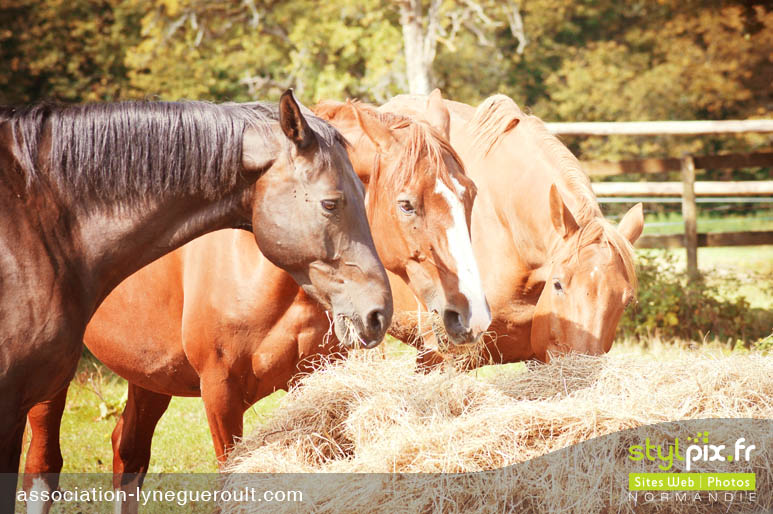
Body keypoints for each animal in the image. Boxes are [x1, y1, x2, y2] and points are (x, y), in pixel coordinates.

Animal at [25, 94, 488, 510]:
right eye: (406, 204)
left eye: (470, 195)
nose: (471, 314)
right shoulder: (220, 393)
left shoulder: (314, 387)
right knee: (44, 468)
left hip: (149, 374)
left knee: (128, 455)